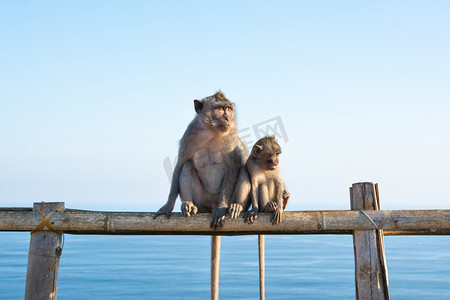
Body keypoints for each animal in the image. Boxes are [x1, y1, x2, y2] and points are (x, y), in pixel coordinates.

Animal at [154, 91, 246, 300]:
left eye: (229, 108)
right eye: (220, 109)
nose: (227, 118)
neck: (212, 133)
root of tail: (208, 206)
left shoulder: (232, 139)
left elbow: (234, 167)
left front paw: (222, 209)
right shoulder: (189, 135)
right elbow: (180, 164)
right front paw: (168, 205)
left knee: (242, 168)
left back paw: (231, 207)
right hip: (202, 200)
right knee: (188, 166)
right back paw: (188, 205)